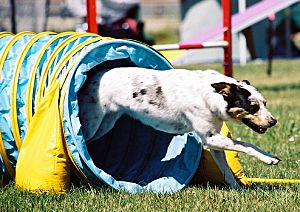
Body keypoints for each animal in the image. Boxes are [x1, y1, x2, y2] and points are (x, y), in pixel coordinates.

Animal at [78, 66, 278, 189]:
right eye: (253, 107)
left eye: (265, 103)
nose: (273, 121)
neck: (211, 95)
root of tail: (93, 75)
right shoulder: (210, 138)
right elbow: (246, 145)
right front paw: (268, 158)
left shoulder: (214, 140)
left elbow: (227, 170)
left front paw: (237, 187)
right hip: (93, 122)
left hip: (106, 123)